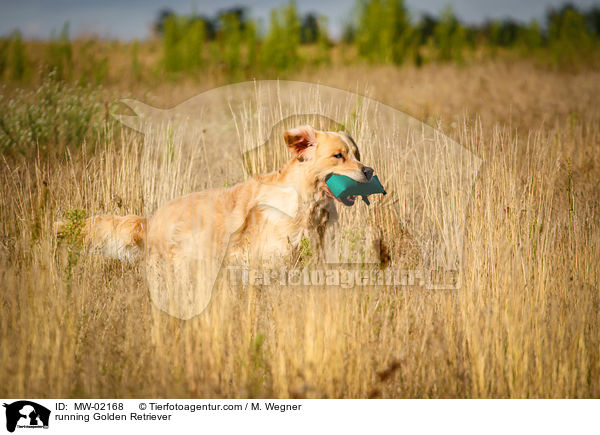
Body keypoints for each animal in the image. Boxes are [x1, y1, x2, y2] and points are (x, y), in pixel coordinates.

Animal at [57, 125, 376, 316]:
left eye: (356, 153)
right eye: (338, 156)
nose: (369, 171)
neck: (307, 205)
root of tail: (151, 220)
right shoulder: (262, 262)